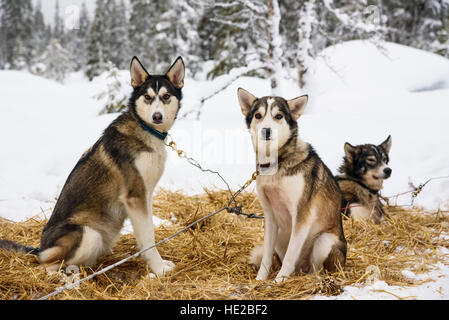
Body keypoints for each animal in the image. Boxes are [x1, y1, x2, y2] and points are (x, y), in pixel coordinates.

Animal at [0, 55, 185, 276]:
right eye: (148, 97)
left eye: (166, 96)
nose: (157, 116)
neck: (146, 130)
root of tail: (41, 248)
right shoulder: (135, 196)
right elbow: (148, 240)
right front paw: (158, 269)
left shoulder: (145, 194)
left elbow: (148, 233)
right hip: (88, 234)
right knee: (47, 265)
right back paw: (65, 279)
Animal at [238, 89, 346, 282]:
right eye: (258, 115)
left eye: (278, 116)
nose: (266, 130)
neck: (277, 162)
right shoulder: (269, 216)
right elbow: (266, 256)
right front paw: (260, 280)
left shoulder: (302, 216)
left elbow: (289, 257)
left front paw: (278, 281)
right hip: (281, 236)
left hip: (324, 241)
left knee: (315, 269)